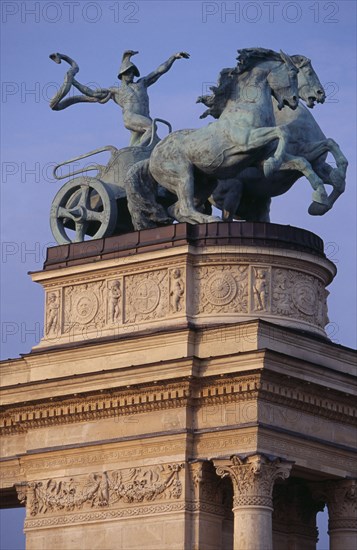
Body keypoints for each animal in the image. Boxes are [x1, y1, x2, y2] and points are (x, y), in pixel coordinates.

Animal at [125, 48, 298, 229]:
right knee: (185, 207)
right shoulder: (247, 140)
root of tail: (151, 158)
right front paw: (273, 164)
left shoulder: (258, 156)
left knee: (176, 209)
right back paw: (210, 219)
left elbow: (298, 159)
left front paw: (273, 164)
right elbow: (282, 130)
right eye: (293, 73)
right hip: (182, 175)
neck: (246, 108)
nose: (294, 100)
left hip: (205, 183)